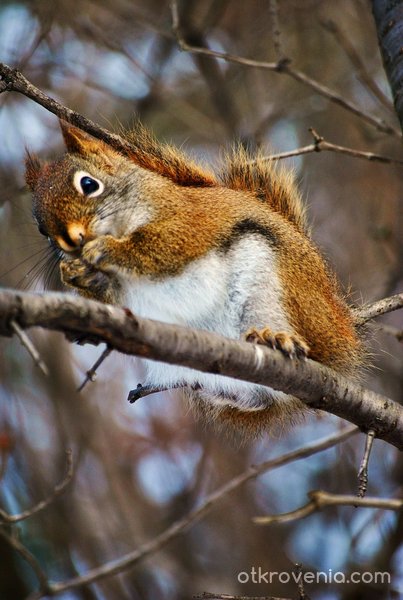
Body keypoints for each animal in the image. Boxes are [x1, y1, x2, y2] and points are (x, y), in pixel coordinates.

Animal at [26, 120, 364, 436]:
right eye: (41, 228)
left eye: (89, 184)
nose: (71, 241)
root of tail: (337, 332)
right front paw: (75, 274)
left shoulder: (189, 220)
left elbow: (163, 246)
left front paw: (107, 249)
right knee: (258, 398)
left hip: (267, 283)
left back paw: (274, 338)